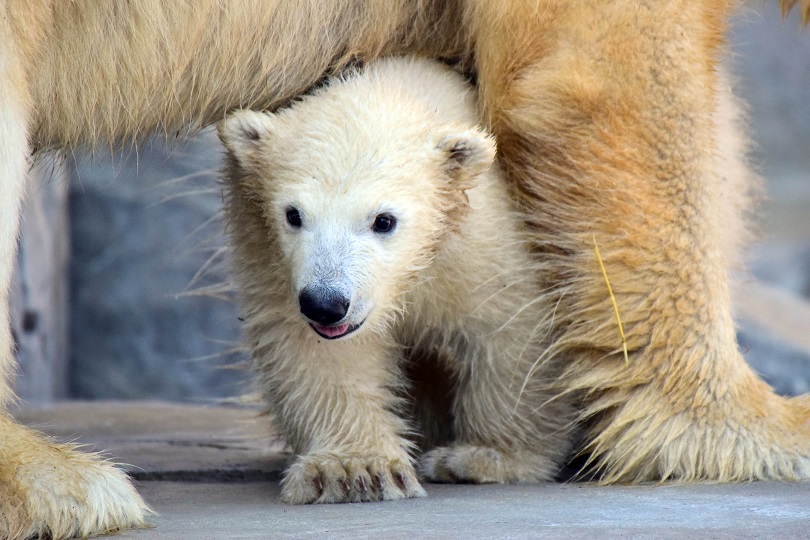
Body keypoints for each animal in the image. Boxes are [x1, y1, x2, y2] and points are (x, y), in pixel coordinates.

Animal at [0, 0, 804, 536]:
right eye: (294, 215)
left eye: (385, 220)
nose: (327, 302)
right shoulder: (279, 254)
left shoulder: (477, 243)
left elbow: (513, 331)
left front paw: (486, 455)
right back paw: (60, 483)